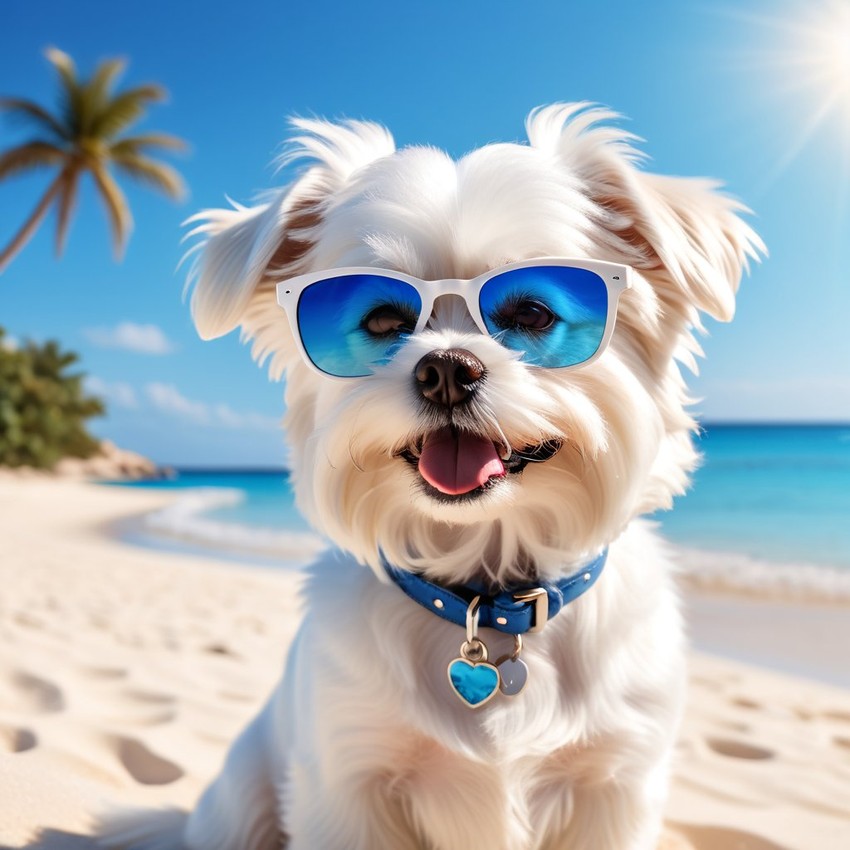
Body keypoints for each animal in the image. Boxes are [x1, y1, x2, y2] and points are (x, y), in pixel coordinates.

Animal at [101, 102, 760, 844]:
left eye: (532, 313)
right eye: (383, 318)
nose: (446, 368)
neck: (485, 594)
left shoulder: (614, 786)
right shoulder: (349, 786)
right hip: (241, 800)